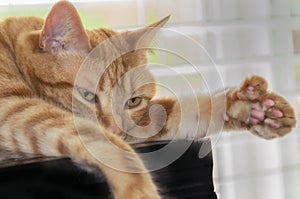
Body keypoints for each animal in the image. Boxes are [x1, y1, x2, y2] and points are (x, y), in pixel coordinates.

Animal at [0, 0, 296, 198]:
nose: (117, 128)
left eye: (133, 102)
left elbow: (186, 110)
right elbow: (113, 148)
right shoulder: (15, 110)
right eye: (87, 96)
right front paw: (140, 191)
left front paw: (251, 109)